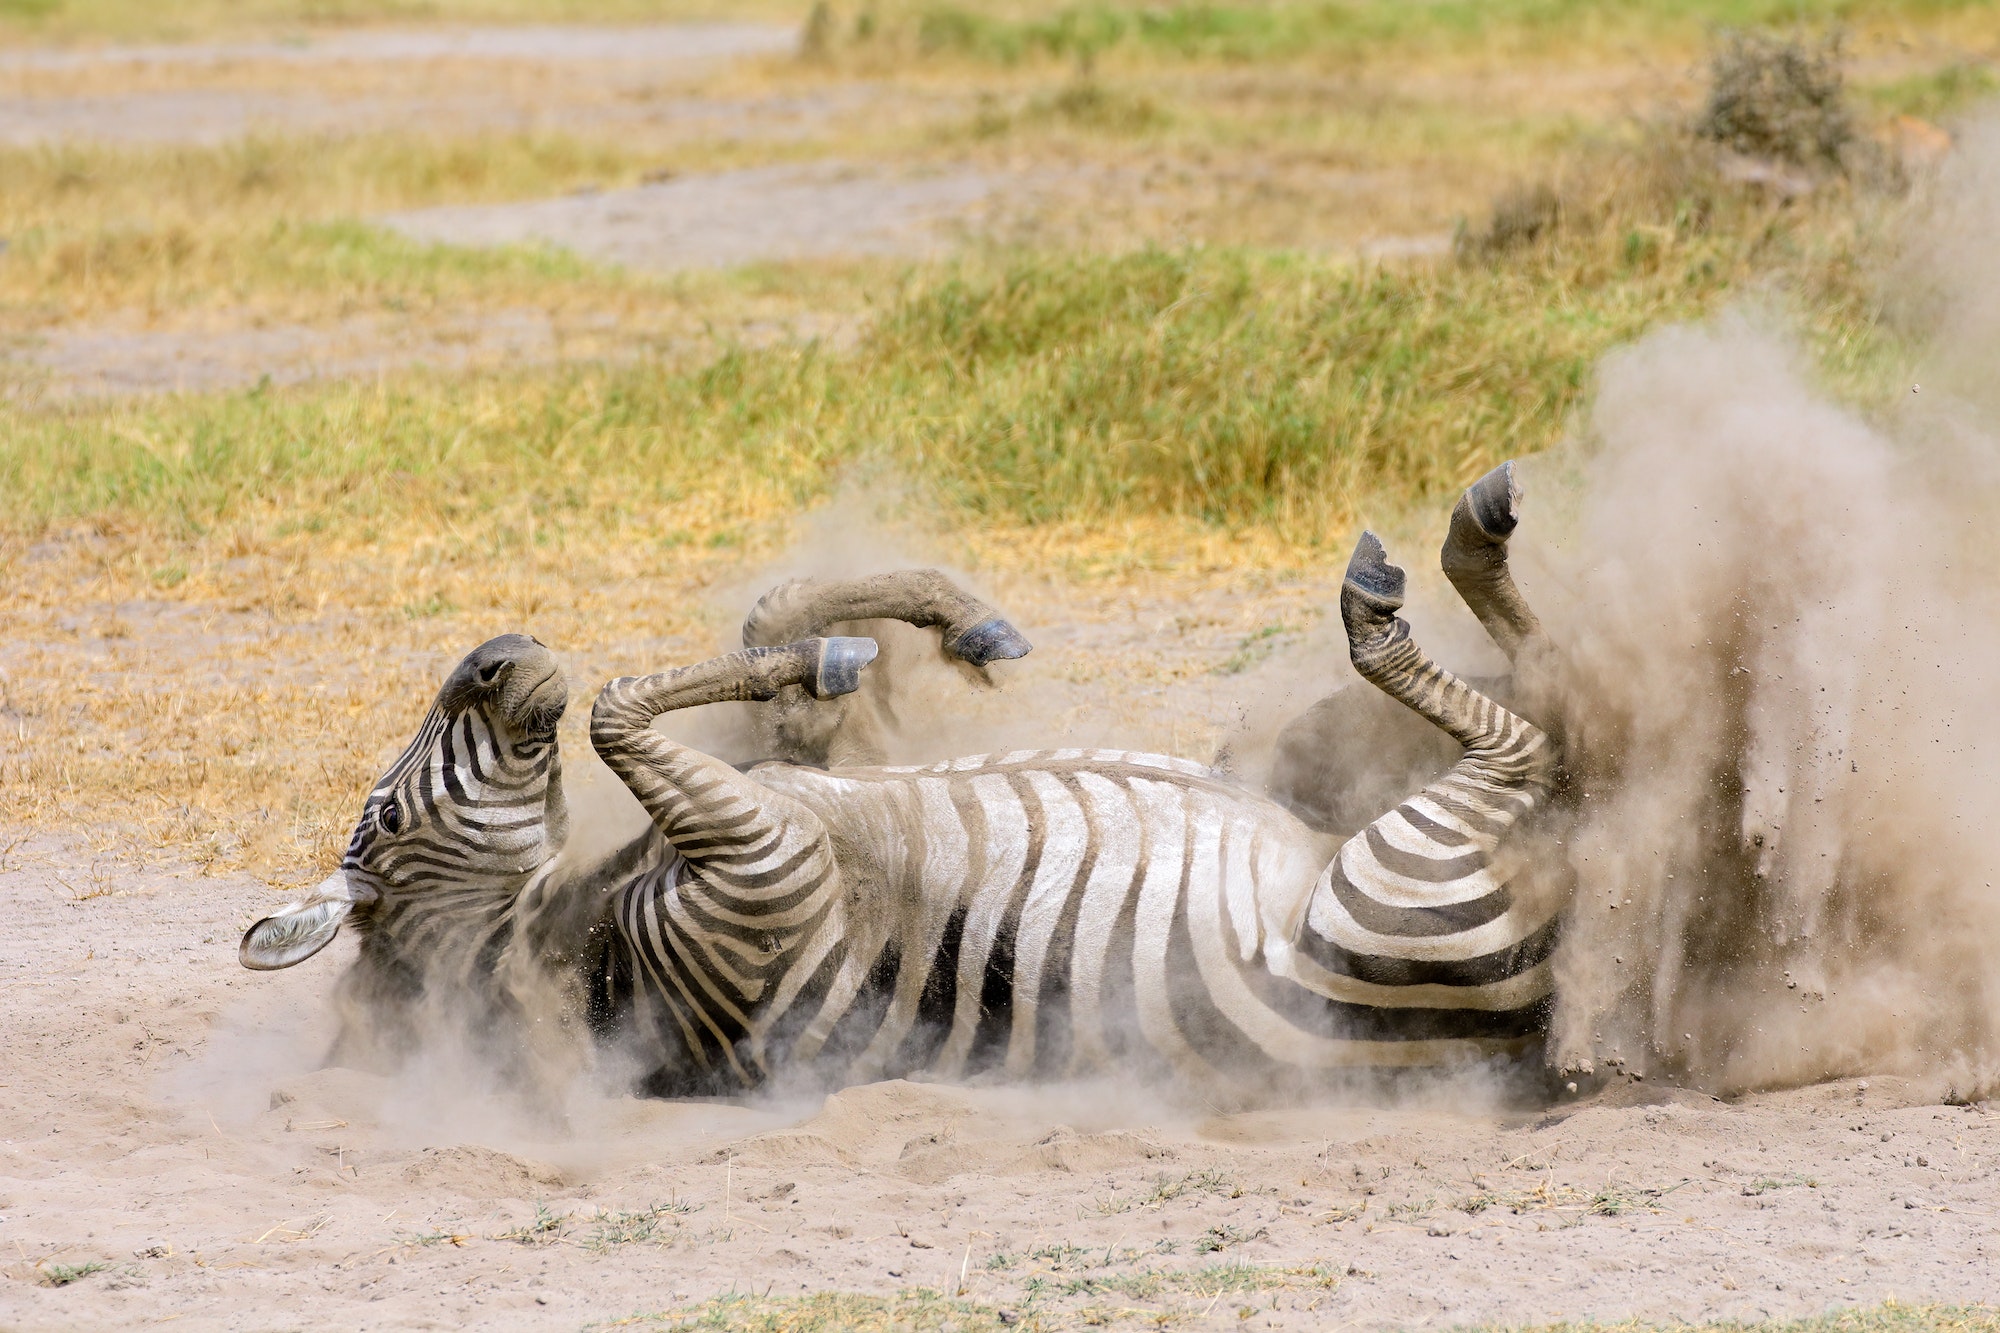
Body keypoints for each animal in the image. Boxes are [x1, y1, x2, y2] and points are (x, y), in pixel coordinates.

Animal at [246, 464, 1560, 1088]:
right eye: (381, 812)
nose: (498, 653)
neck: (584, 936)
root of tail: (1526, 1020)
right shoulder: (764, 856)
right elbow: (621, 704)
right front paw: (844, 650)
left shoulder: (805, 778)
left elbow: (767, 616)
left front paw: (948, 621)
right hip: (1389, 883)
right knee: (1523, 739)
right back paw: (1411, 578)